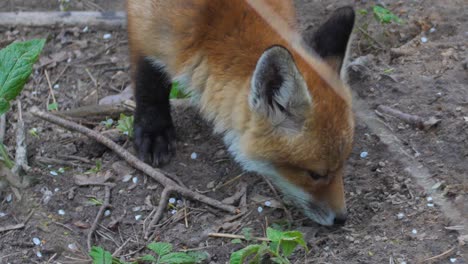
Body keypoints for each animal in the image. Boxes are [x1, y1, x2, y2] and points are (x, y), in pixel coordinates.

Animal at [126, 1, 356, 226]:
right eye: (315, 174)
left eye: (344, 164)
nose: (342, 219)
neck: (209, 29)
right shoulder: (147, 20)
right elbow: (149, 79)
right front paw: (154, 130)